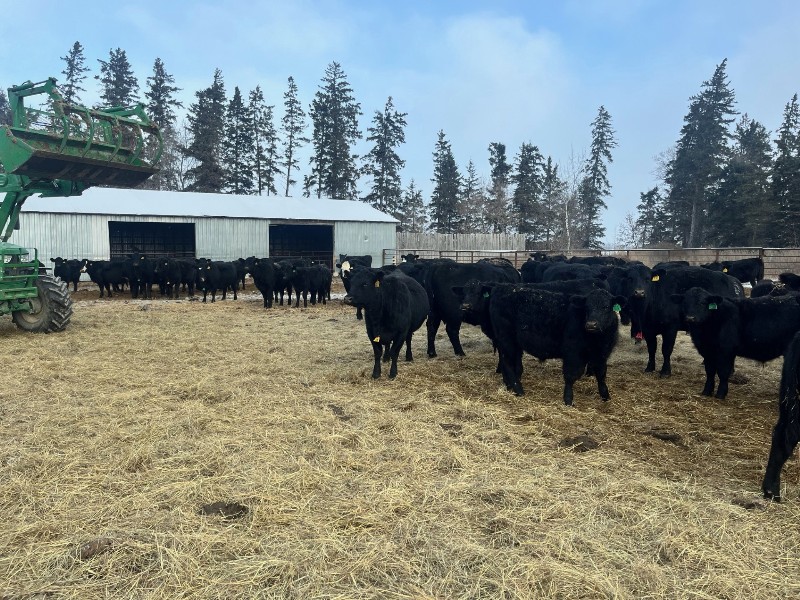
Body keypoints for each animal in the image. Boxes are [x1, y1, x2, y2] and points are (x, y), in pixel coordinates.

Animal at [463, 283, 625, 404]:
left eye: (606, 307)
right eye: (587, 308)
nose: (591, 324)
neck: (597, 339)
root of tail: (502, 288)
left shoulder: (602, 354)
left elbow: (601, 374)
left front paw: (605, 396)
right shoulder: (572, 353)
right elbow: (570, 376)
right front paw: (568, 399)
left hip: (511, 344)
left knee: (508, 364)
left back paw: (510, 387)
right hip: (506, 340)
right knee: (507, 364)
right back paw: (519, 390)